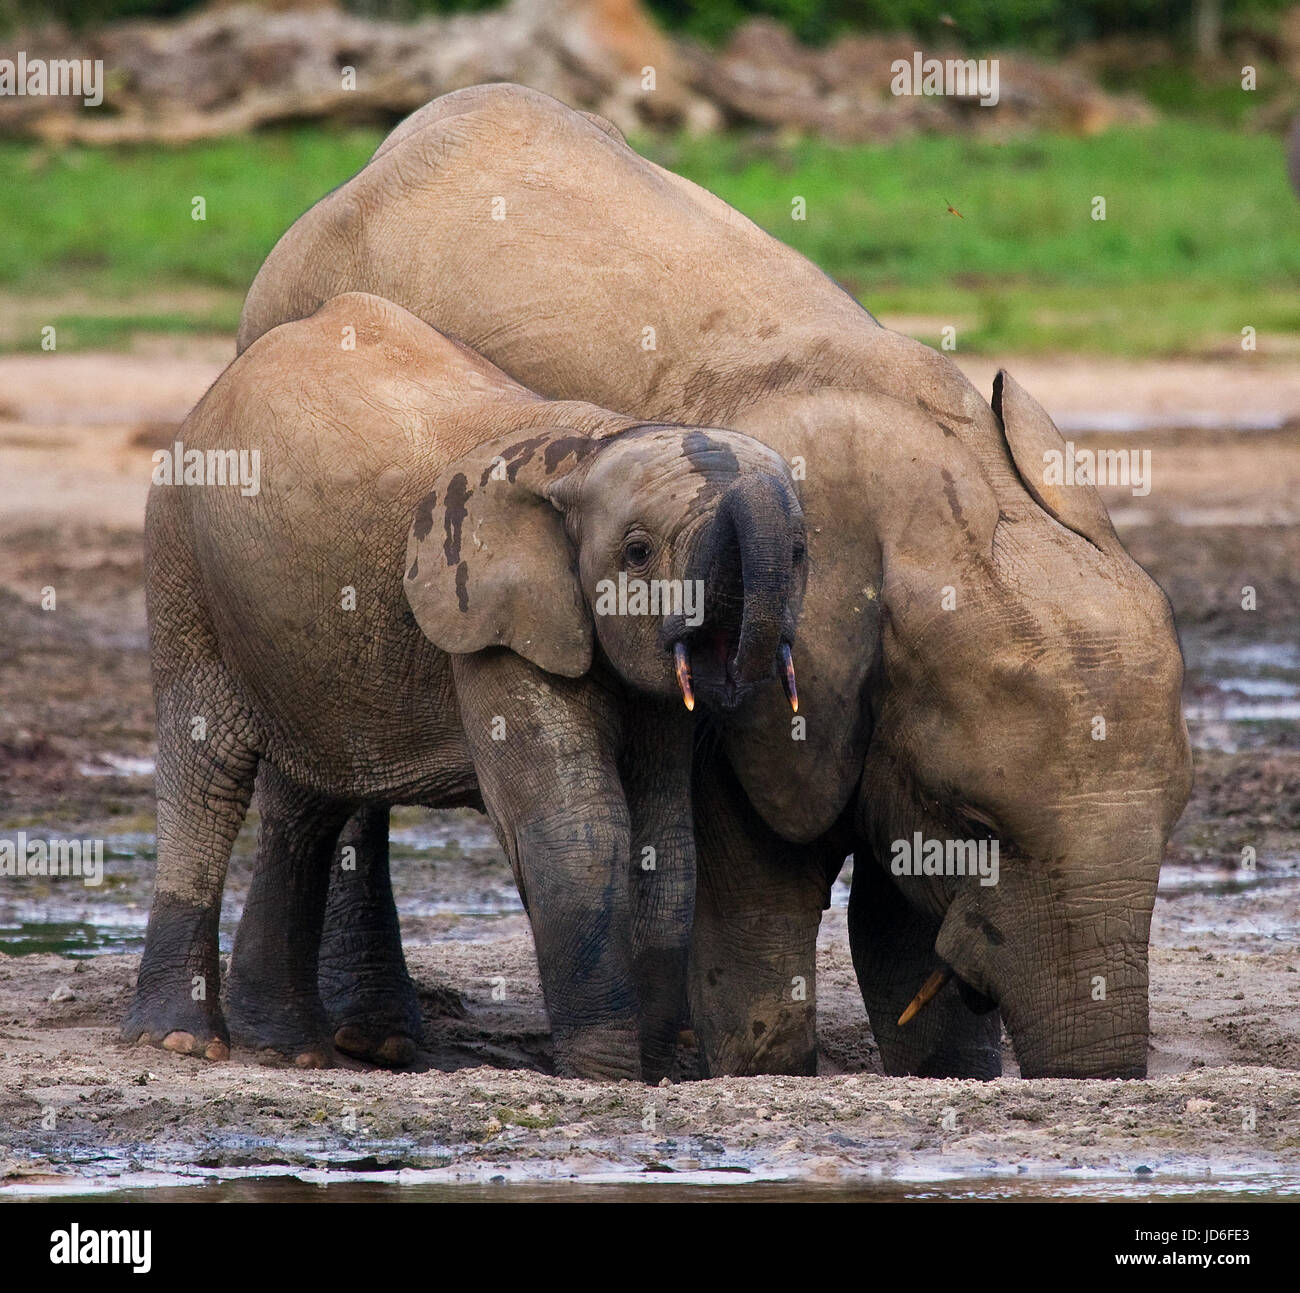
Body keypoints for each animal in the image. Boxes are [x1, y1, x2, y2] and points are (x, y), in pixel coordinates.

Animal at [122, 291, 807, 1081]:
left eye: (800, 552)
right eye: (636, 554)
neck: (588, 452)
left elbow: (664, 837)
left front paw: (664, 1068)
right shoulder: (488, 621)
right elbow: (579, 827)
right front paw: (602, 1073)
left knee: (310, 798)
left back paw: (290, 1050)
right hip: (180, 558)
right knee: (208, 772)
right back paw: (178, 1041)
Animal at [235, 84, 1193, 1080]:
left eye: (1177, 814)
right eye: (975, 818)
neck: (937, 501)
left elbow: (896, 923)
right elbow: (760, 899)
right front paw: (755, 1062)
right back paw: (376, 1041)